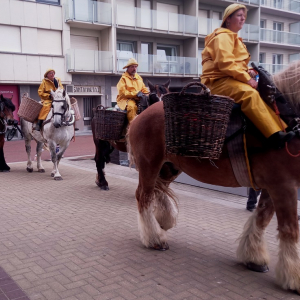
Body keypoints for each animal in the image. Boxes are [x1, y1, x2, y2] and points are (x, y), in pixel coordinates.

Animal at [128, 61, 300, 292]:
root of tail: (141, 115)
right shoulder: (284, 186)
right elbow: (290, 229)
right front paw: (294, 276)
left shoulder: (274, 186)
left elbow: (262, 218)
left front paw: (253, 257)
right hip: (149, 165)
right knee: (144, 197)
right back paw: (154, 237)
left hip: (169, 167)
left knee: (158, 190)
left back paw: (164, 220)